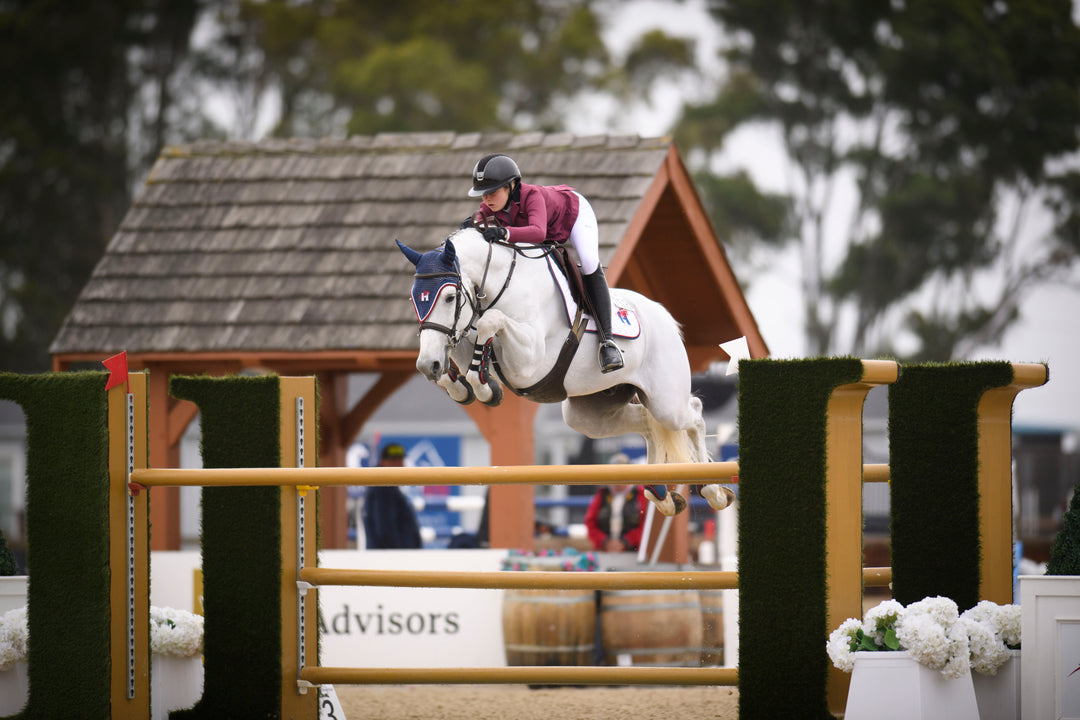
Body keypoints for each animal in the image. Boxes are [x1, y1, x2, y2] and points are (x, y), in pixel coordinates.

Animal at [396, 228, 734, 517]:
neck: (500, 284)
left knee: (693, 414)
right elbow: (461, 344)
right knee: (646, 423)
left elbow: (491, 321)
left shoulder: (529, 362)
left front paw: (482, 386)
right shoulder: (464, 333)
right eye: (414, 298)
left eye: (450, 297)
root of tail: (664, 316)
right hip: (590, 413)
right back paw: (659, 491)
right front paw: (458, 382)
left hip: (667, 400)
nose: (426, 366)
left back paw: (713, 489)